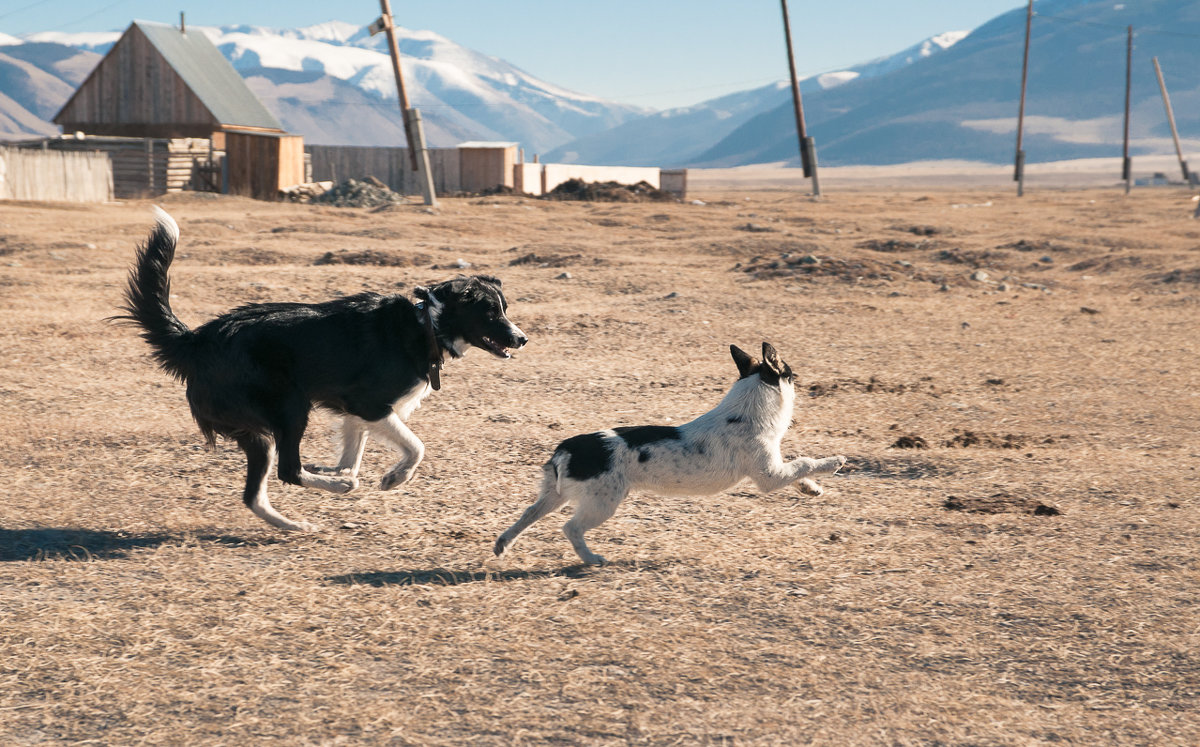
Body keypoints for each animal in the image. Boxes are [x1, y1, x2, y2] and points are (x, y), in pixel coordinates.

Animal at [119, 207, 528, 530]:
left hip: (258, 432)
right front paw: (394, 477)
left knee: (255, 494)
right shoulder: (370, 405)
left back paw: (295, 524)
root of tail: (197, 340)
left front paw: (339, 469)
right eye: (490, 312)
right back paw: (338, 488)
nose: (522, 339)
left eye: (504, 308)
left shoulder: (355, 410)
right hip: (290, 408)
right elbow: (416, 447)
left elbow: (353, 452)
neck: (426, 325)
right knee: (287, 470)